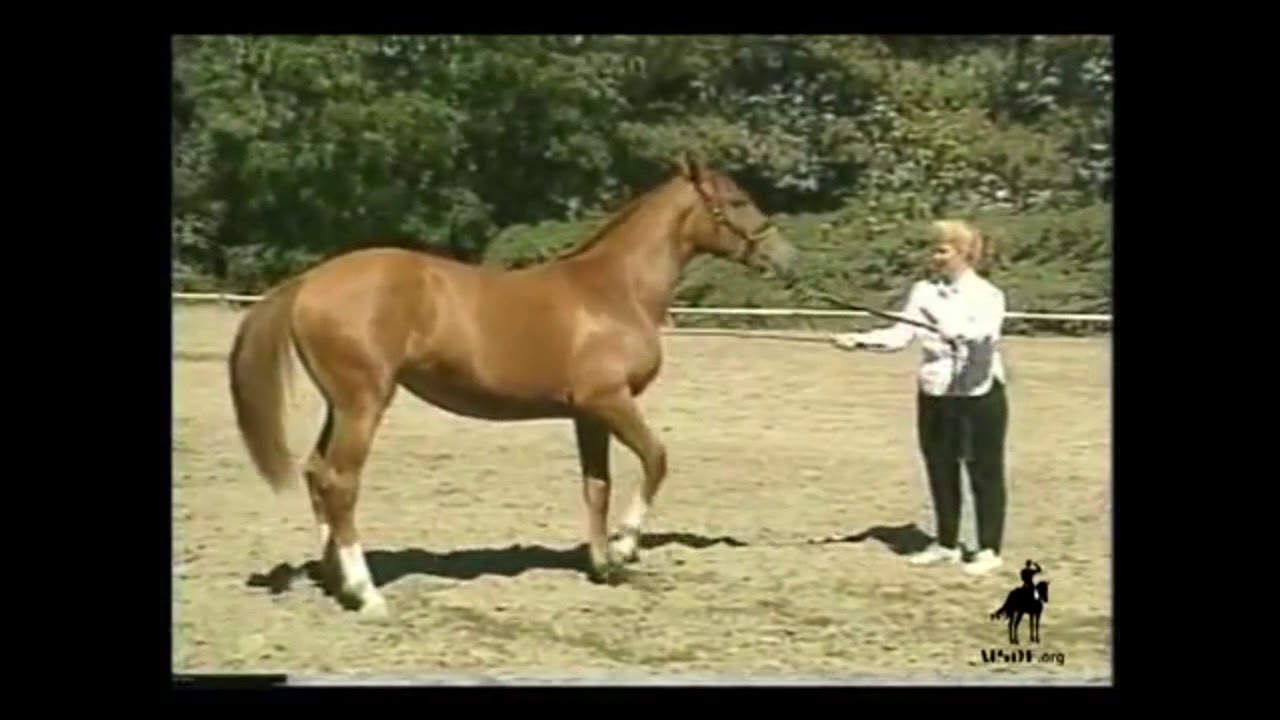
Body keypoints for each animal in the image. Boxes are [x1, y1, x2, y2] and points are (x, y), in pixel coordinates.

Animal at [227, 153, 796, 615]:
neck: (616, 290)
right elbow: (656, 459)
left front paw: (602, 565)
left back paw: (335, 579)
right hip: (364, 404)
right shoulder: (611, 401)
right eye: (737, 200)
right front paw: (625, 546)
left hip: (340, 405)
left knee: (316, 472)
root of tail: (309, 281)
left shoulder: (586, 413)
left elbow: (597, 487)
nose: (785, 257)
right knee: (340, 482)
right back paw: (366, 595)